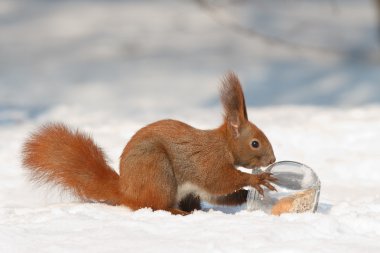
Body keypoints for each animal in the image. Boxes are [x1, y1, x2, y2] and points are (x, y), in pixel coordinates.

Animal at [21, 72, 276, 215]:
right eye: (255, 143)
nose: (272, 159)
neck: (223, 145)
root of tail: (126, 191)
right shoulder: (208, 161)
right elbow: (219, 180)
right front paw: (256, 179)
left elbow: (218, 195)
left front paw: (246, 195)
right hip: (157, 171)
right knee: (156, 206)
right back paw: (178, 213)